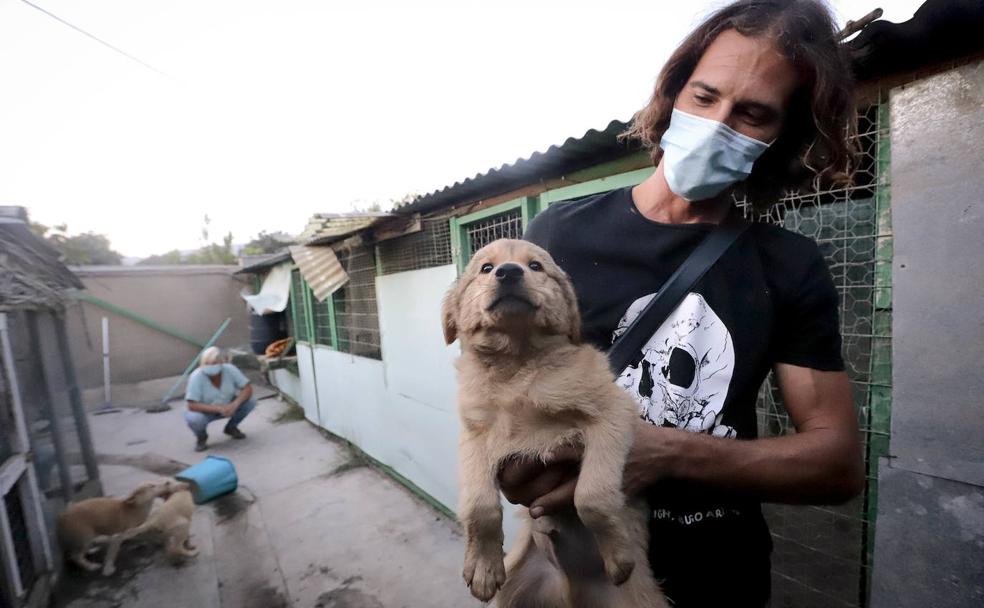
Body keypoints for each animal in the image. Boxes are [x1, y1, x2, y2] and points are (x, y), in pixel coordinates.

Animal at [444, 239, 668, 608]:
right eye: (486, 268)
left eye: (535, 266)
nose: (509, 272)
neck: (518, 365)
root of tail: (571, 591)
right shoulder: (474, 434)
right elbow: (480, 505)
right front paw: (483, 567)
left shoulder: (612, 413)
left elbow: (591, 496)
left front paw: (618, 555)